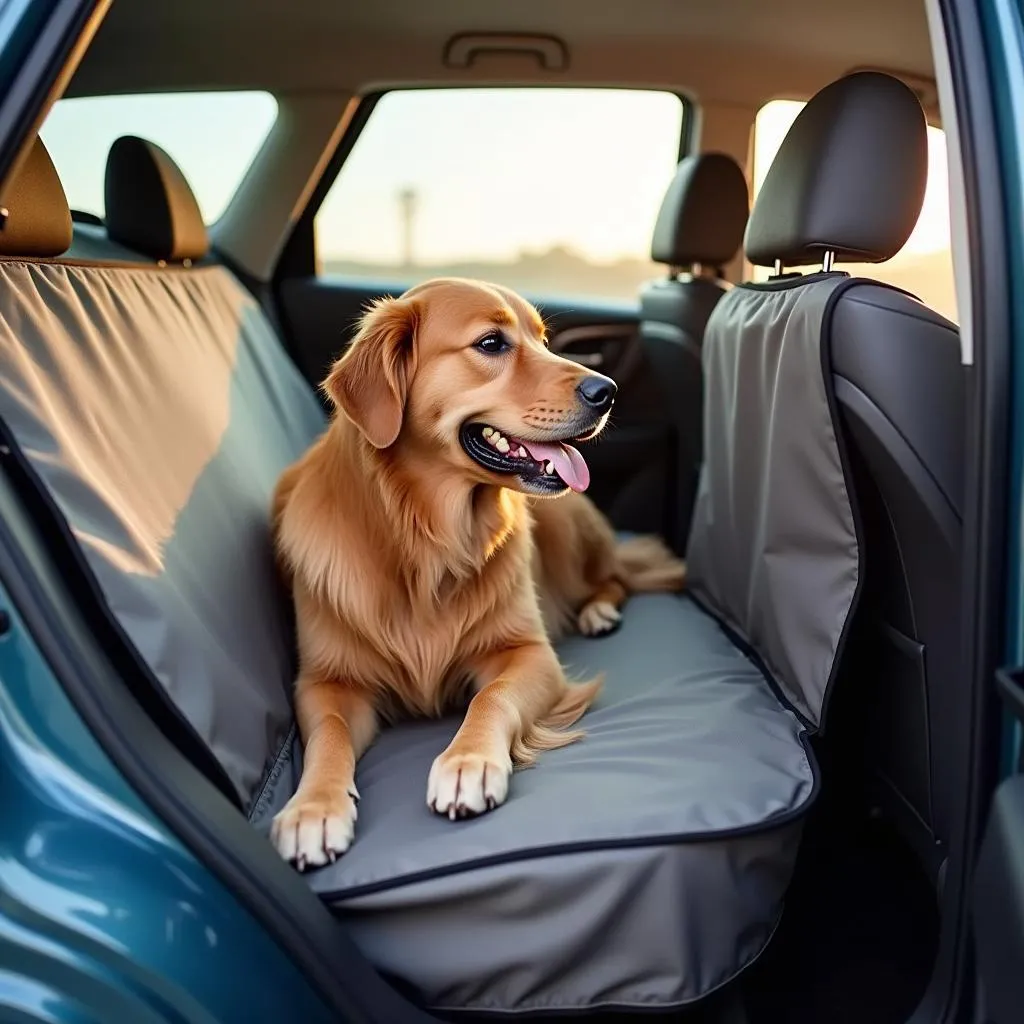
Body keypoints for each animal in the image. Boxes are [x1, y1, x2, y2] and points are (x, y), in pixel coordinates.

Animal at [272, 276, 684, 868]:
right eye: (491, 344)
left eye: (542, 339)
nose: (606, 391)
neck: (427, 541)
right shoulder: (326, 682)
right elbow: (327, 733)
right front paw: (313, 808)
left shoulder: (529, 653)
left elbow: (491, 697)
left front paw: (467, 762)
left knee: (613, 578)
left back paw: (599, 611)